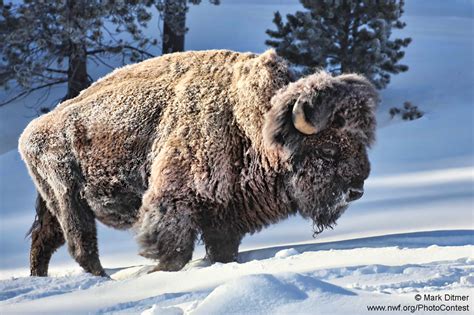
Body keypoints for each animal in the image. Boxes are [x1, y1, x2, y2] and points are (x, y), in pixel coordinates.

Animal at [19, 48, 378, 276]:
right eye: (328, 149)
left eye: (361, 142)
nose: (356, 190)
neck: (248, 123)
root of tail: (31, 132)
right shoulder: (174, 202)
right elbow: (175, 250)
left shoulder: (225, 214)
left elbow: (222, 251)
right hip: (69, 199)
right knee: (81, 244)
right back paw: (102, 278)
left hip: (52, 207)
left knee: (44, 242)